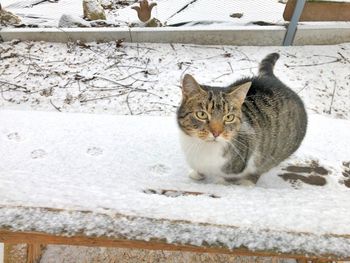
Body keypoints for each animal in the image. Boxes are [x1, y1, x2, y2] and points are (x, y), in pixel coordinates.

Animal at [178, 53, 306, 186]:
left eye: (229, 117)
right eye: (201, 114)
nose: (216, 133)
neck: (203, 147)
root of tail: (273, 79)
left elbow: (228, 176)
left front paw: (221, 182)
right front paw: (197, 173)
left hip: (279, 150)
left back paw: (248, 181)